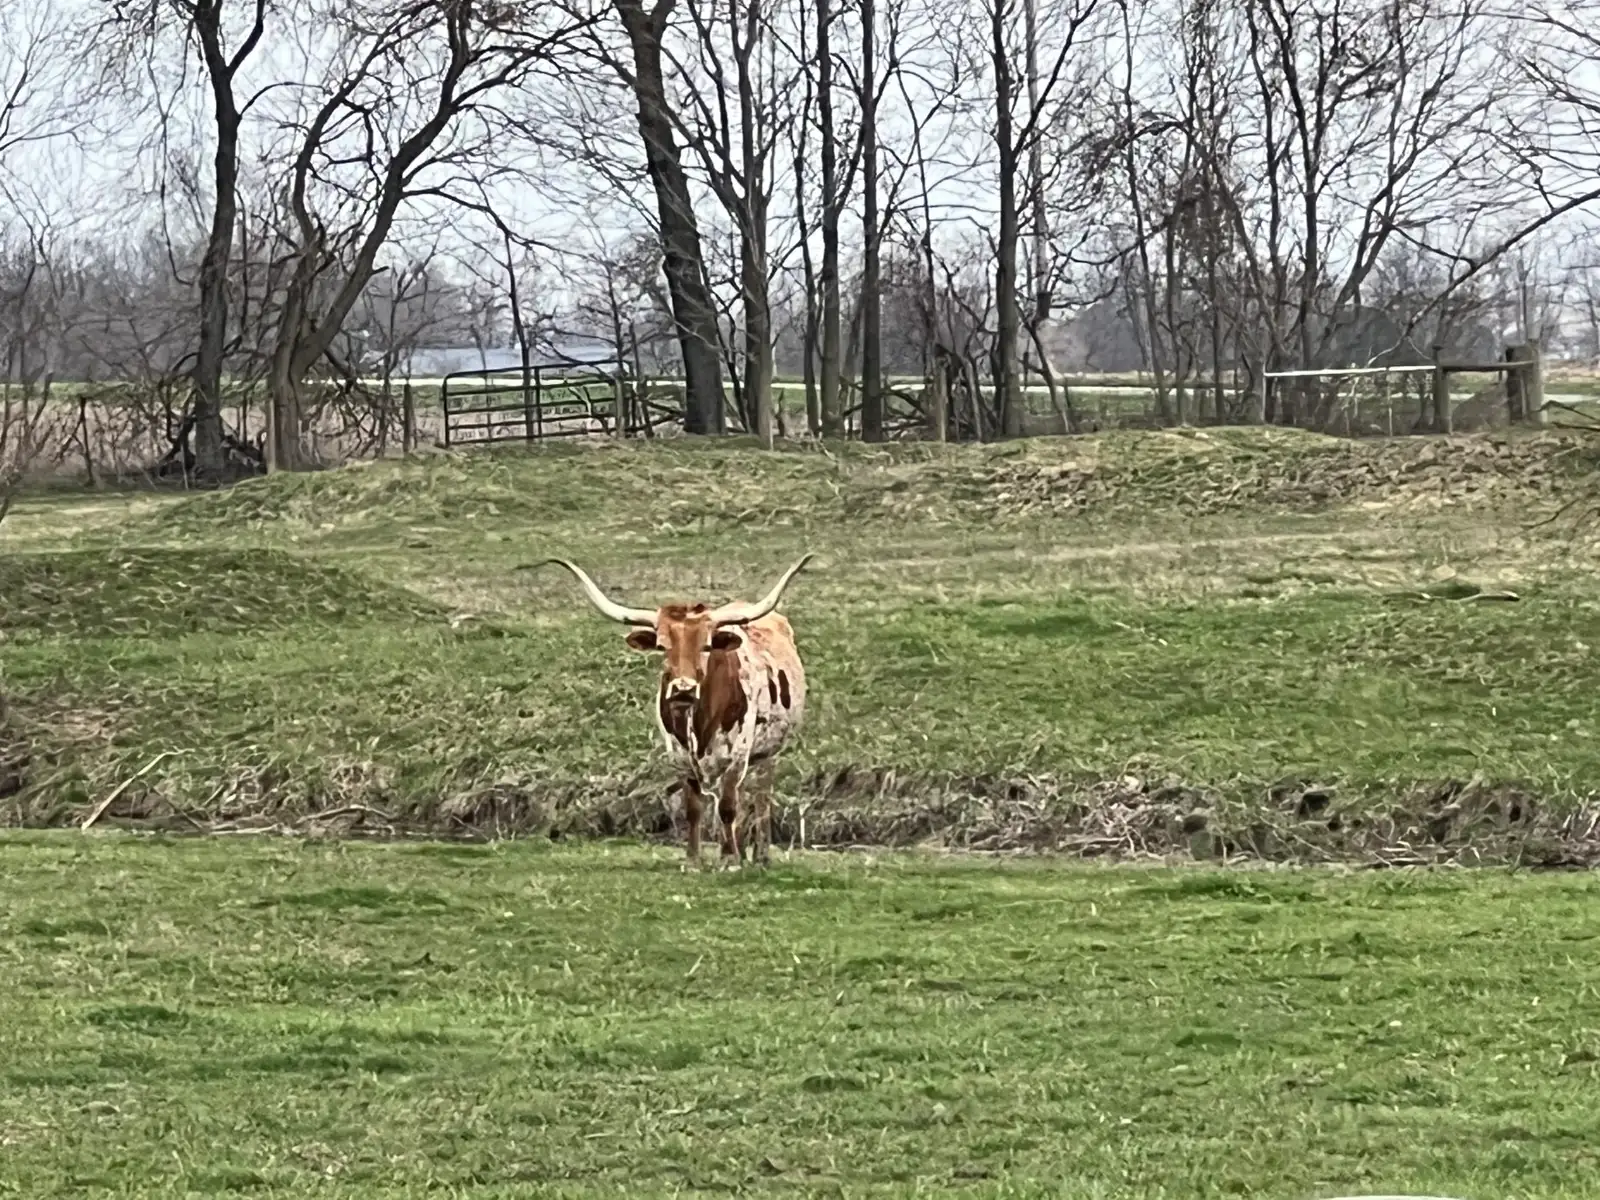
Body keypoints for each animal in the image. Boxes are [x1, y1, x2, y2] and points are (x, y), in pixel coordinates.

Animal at [545, 555, 812, 869]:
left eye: (707, 645)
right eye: (662, 646)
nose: (683, 689)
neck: (700, 723)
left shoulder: (737, 754)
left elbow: (727, 807)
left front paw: (729, 859)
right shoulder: (680, 757)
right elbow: (694, 808)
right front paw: (695, 860)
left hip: (768, 753)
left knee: (760, 796)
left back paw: (759, 855)